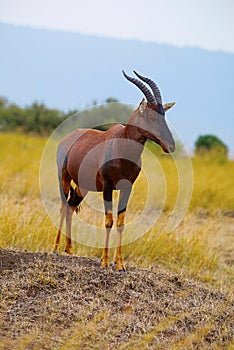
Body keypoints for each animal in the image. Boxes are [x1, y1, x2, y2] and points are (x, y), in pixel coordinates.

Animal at [52, 70, 175, 270]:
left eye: (163, 114)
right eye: (150, 116)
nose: (170, 146)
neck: (122, 143)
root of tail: (68, 138)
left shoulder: (127, 187)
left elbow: (121, 222)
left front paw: (120, 265)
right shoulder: (108, 187)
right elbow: (109, 221)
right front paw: (104, 262)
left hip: (83, 187)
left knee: (71, 206)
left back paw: (69, 249)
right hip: (63, 176)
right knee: (63, 207)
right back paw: (55, 248)